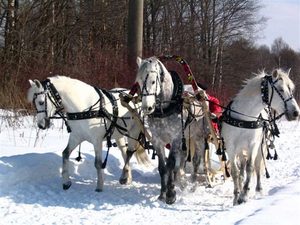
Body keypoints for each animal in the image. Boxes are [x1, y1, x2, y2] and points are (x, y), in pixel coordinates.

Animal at [126, 56, 206, 204]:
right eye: (139, 81)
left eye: (153, 81)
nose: (147, 107)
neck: (166, 107)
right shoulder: (157, 140)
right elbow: (163, 167)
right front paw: (162, 193)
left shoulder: (174, 138)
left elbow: (170, 164)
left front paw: (170, 194)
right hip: (185, 137)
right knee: (183, 158)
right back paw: (181, 183)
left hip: (198, 137)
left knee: (196, 160)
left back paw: (192, 185)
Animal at [221, 69, 298, 205]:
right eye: (280, 89)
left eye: (291, 89)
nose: (296, 113)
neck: (245, 118)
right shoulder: (231, 147)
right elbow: (235, 172)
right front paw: (236, 197)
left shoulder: (253, 145)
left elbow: (250, 168)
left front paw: (244, 195)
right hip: (240, 149)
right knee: (241, 169)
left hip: (261, 146)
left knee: (257, 166)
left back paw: (258, 189)